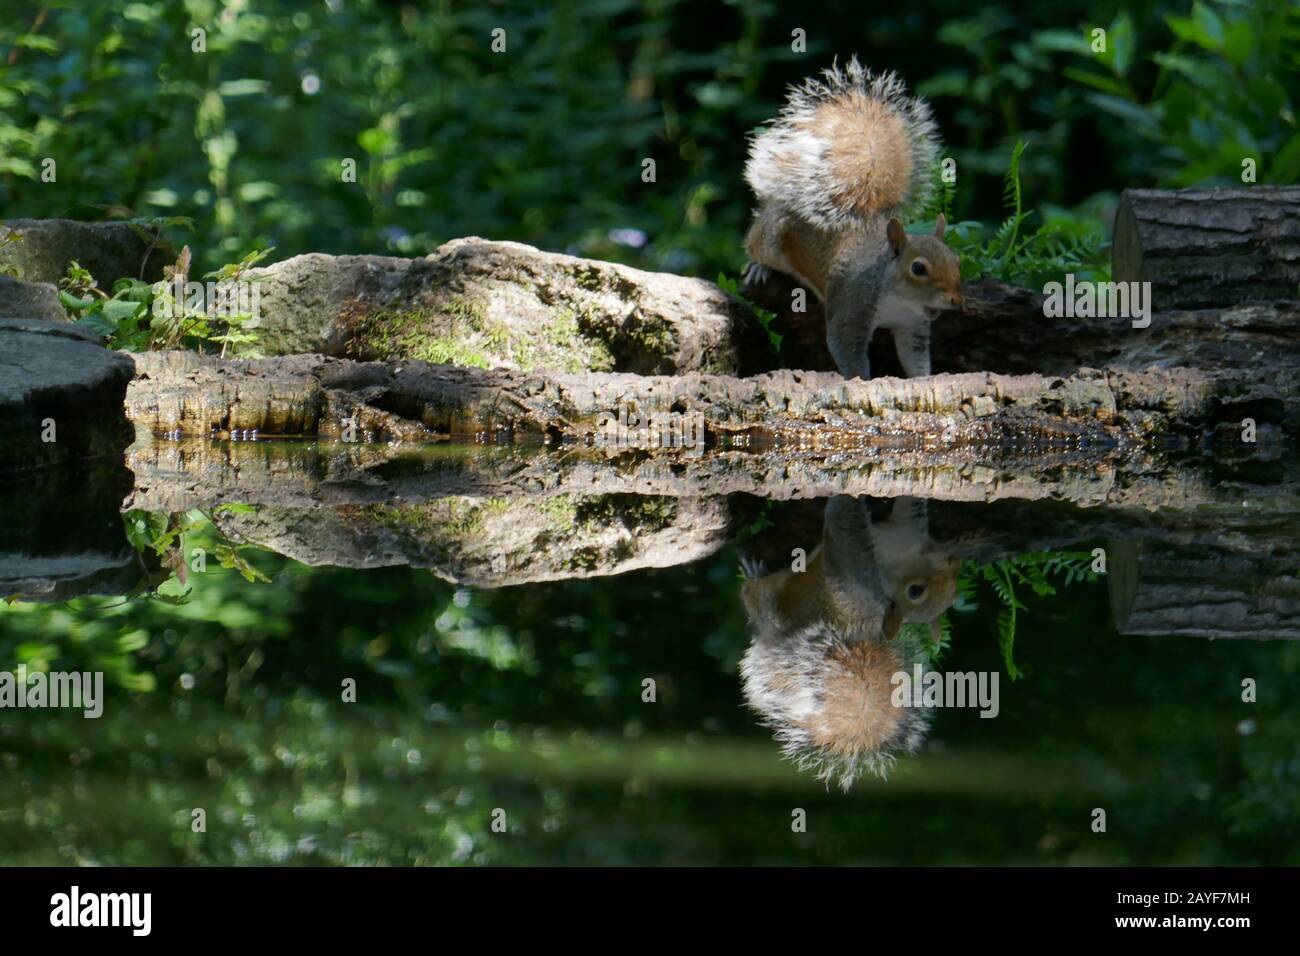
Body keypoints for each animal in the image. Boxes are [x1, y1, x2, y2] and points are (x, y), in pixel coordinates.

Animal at [743, 57, 967, 382]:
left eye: (957, 261)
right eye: (918, 268)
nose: (956, 300)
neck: (900, 299)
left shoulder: (913, 325)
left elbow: (915, 358)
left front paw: (924, 379)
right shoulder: (851, 307)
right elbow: (847, 351)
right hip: (770, 236)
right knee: (756, 244)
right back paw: (758, 267)